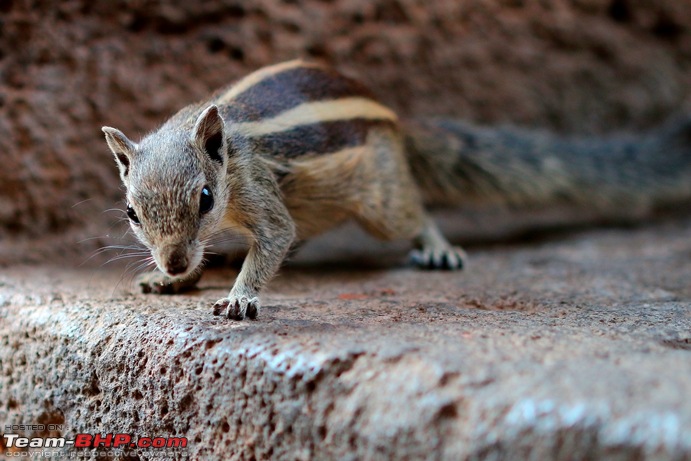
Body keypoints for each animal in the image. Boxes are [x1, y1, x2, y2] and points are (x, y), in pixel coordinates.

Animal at [101, 59, 691, 320]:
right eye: (131, 213)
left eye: (205, 198)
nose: (173, 261)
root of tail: (396, 121)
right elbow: (246, 248)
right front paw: (174, 280)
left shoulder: (259, 190)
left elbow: (275, 237)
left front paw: (240, 295)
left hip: (381, 200)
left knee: (413, 214)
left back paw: (436, 248)